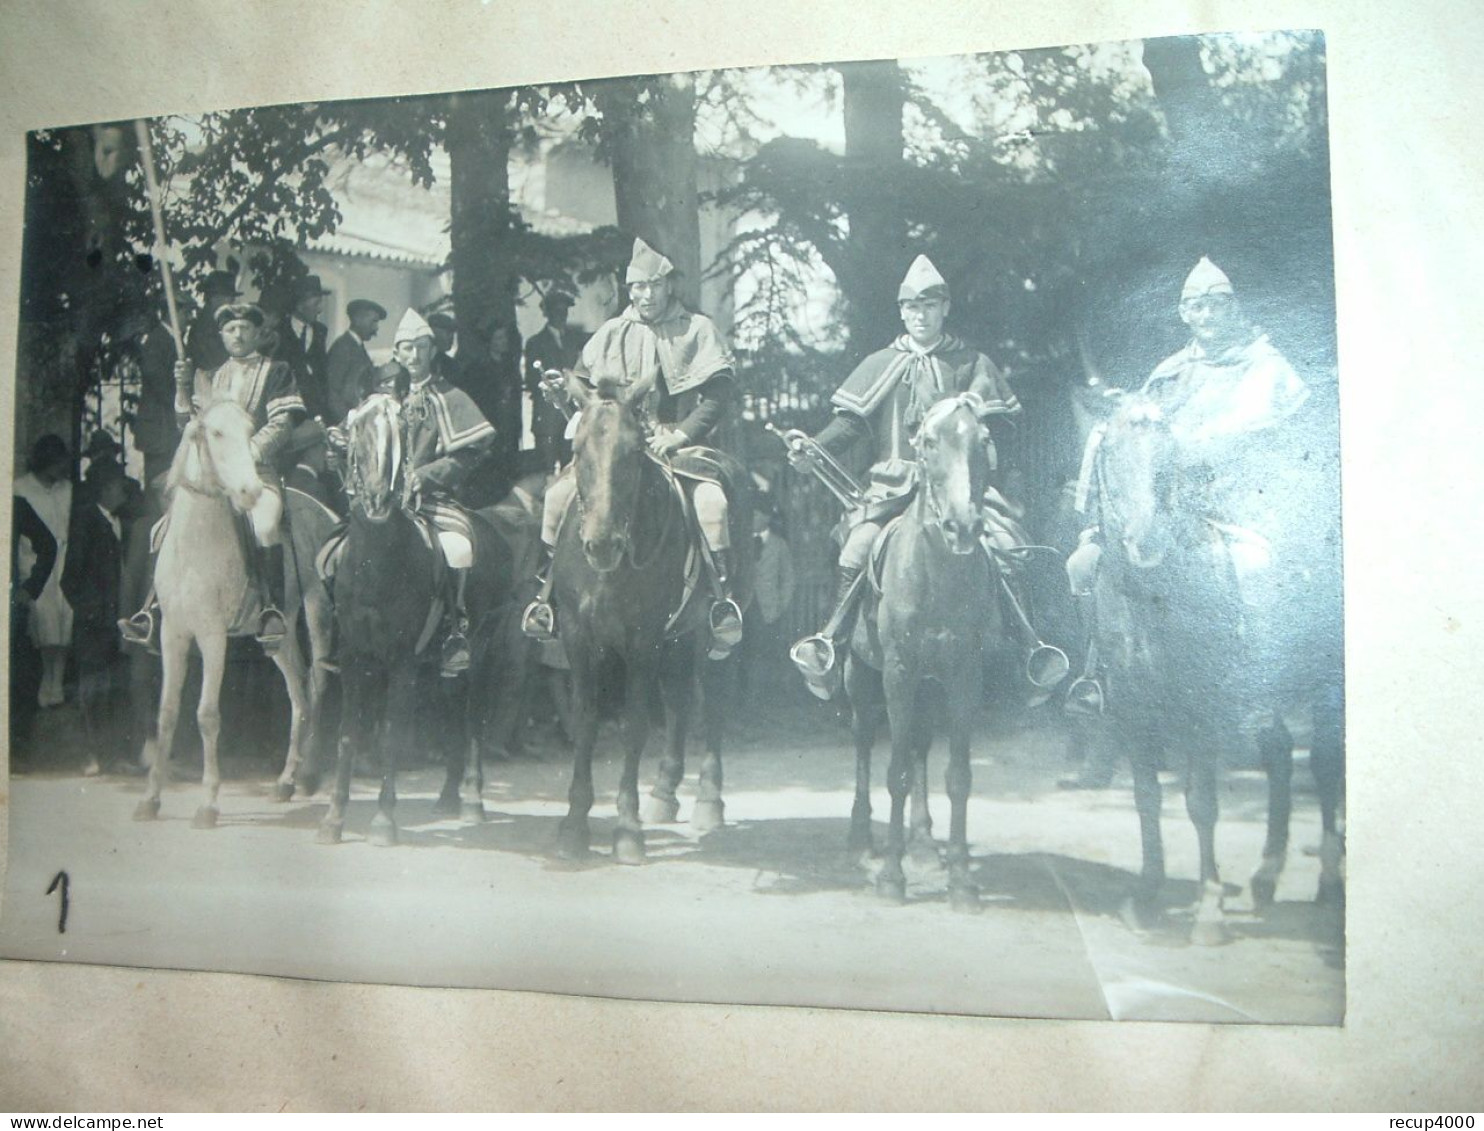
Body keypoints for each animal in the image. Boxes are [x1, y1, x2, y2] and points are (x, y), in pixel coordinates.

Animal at [134, 374, 333, 825]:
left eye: (248, 431)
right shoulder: (173, 633)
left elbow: (207, 715)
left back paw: (310, 775)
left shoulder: (212, 636)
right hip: (279, 635)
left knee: (317, 684)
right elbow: (166, 712)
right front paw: (151, 799)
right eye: (215, 433)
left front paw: (208, 804)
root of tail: (327, 512)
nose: (250, 490)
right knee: (297, 690)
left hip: (317, 613)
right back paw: (285, 782)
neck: (195, 545)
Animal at [316, 391, 513, 843]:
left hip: (482, 649)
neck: (376, 561)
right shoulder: (354, 657)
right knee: (452, 712)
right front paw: (333, 819)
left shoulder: (401, 659)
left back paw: (473, 798)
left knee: (473, 717)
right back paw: (448, 795)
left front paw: (383, 821)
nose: (377, 501)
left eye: (401, 433)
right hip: (441, 666)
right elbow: (347, 735)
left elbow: (391, 734)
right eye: (356, 434)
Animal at [552, 374, 753, 860]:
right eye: (578, 449)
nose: (601, 544)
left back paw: (708, 801)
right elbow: (585, 721)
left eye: (632, 451)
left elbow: (636, 726)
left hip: (711, 637)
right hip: (676, 639)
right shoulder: (578, 639)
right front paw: (574, 825)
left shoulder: (641, 642)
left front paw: (627, 830)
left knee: (710, 702)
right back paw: (664, 792)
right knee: (678, 700)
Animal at [842, 394, 1003, 908]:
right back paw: (862, 840)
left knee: (919, 744)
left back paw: (925, 844)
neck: (938, 573)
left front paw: (962, 880)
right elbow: (894, 773)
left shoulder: (964, 675)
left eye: (984, 440)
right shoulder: (898, 672)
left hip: (929, 687)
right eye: (929, 442)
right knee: (863, 739)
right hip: (860, 676)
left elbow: (958, 776)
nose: (963, 526)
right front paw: (892, 877)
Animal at [1092, 391, 1347, 938]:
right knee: (1279, 755)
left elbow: (1202, 805)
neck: (1153, 599)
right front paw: (1146, 893)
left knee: (1324, 763)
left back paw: (1327, 882)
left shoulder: (1203, 712)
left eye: (1170, 459)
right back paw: (1266, 875)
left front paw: (1208, 907)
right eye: (1111, 454)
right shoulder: (1131, 709)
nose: (1146, 543)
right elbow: (1146, 797)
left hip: (1323, 686)